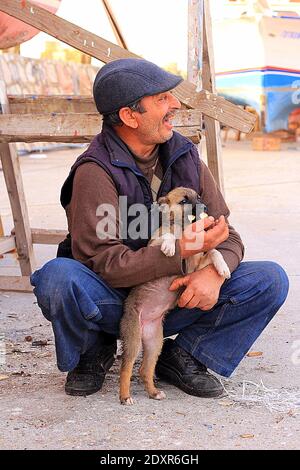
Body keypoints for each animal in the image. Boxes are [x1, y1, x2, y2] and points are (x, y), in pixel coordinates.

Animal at [119, 186, 230, 404]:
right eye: (184, 201)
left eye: (199, 196)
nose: (205, 207)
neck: (182, 228)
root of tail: (144, 324)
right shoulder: (154, 246)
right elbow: (170, 238)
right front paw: (171, 246)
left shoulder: (193, 269)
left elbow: (213, 251)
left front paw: (223, 266)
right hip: (133, 338)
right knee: (125, 368)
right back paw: (125, 396)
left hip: (155, 343)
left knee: (145, 369)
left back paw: (154, 392)